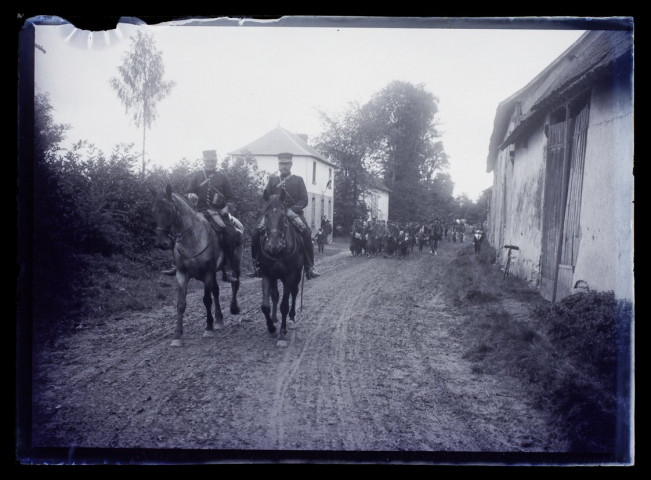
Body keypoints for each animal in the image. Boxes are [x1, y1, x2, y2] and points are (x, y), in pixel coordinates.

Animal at [151, 186, 242, 346]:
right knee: (216, 291)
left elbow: (206, 300)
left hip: (235, 263)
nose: (162, 243)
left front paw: (208, 328)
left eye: (168, 210)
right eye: (154, 211)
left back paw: (234, 308)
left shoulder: (207, 273)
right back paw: (219, 320)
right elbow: (181, 304)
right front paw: (177, 335)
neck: (193, 238)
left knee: (235, 283)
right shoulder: (182, 274)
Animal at [258, 191, 306, 344]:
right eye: (265, 214)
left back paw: (291, 319)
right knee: (275, 295)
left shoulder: (289, 276)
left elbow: (284, 305)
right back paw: (274, 318)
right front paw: (271, 328)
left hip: (297, 275)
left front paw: (283, 333)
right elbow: (265, 306)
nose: (274, 245)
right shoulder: (267, 274)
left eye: (283, 216)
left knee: (294, 293)